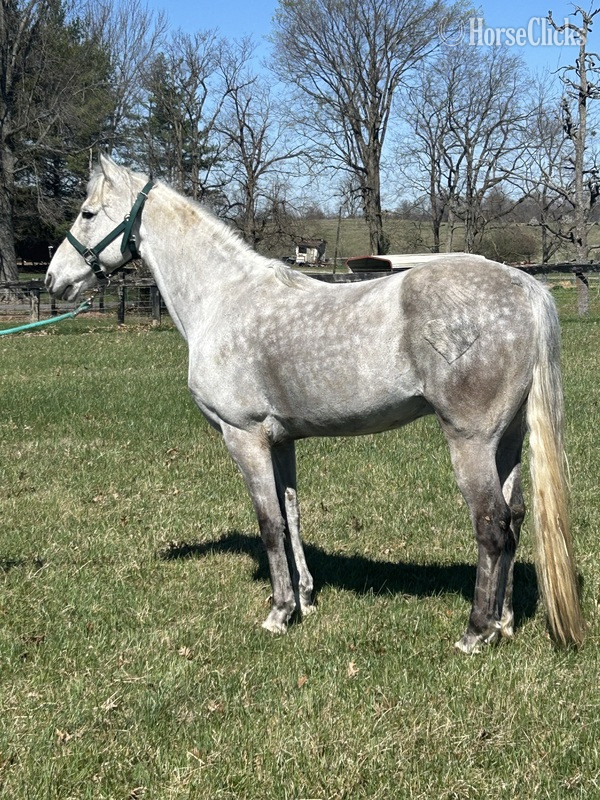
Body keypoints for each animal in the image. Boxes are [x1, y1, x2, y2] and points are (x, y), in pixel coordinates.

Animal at [45, 155, 584, 653]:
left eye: (88, 213)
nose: (54, 279)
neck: (222, 298)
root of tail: (525, 287)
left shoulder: (243, 436)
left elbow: (267, 524)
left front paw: (279, 613)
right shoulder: (280, 440)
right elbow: (291, 516)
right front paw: (305, 598)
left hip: (469, 442)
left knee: (492, 526)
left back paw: (475, 633)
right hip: (506, 440)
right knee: (515, 521)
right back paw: (504, 622)